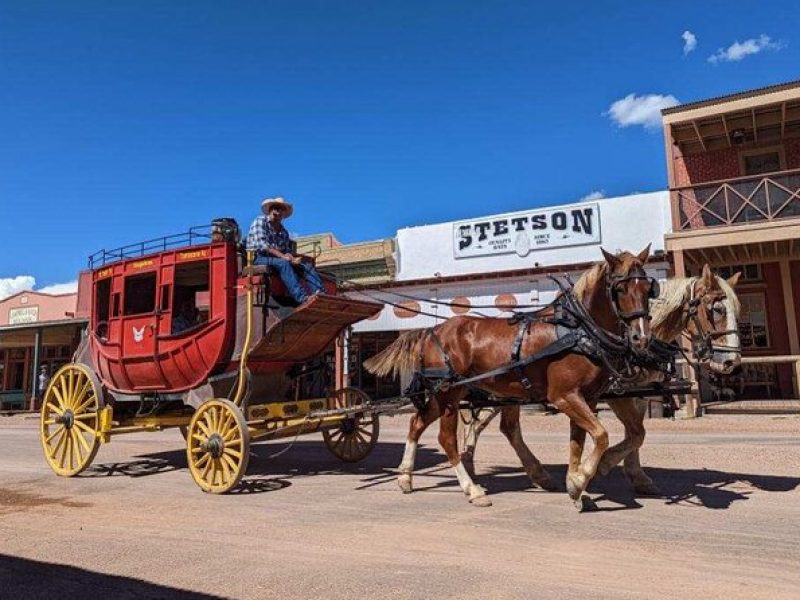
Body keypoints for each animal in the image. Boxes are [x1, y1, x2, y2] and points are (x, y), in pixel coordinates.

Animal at [366, 246, 660, 508]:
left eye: (648, 289)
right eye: (619, 289)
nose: (641, 337)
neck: (579, 330)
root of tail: (433, 329)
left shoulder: (587, 398)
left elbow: (581, 442)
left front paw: (577, 486)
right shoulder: (564, 396)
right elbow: (601, 434)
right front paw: (582, 479)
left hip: (445, 393)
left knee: (416, 423)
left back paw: (405, 477)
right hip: (450, 393)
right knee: (446, 439)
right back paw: (472, 489)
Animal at [462, 264, 744, 494]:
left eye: (736, 311)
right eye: (717, 309)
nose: (732, 362)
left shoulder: (638, 392)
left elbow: (636, 433)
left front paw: (635, 476)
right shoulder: (617, 394)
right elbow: (634, 433)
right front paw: (602, 466)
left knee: (503, 427)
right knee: (479, 424)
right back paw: (469, 466)